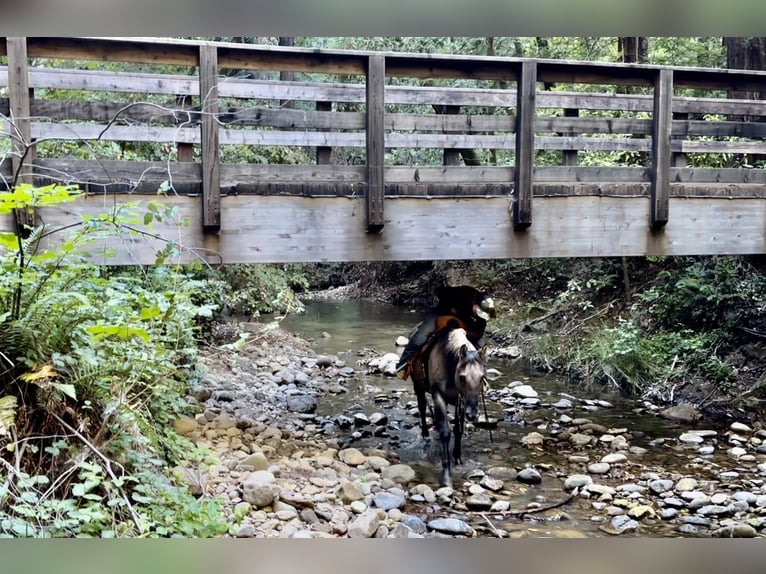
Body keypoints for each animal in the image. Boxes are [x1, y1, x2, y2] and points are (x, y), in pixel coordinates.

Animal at [414, 326, 486, 488]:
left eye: (482, 377)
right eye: (462, 377)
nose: (473, 414)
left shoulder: (461, 402)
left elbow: (458, 429)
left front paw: (457, 457)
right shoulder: (438, 396)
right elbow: (445, 432)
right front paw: (447, 475)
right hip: (418, 386)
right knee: (422, 407)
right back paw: (425, 435)